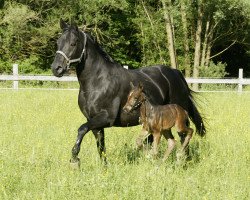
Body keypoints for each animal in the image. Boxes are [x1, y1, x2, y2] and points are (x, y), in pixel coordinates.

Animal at [50, 19, 205, 166]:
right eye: (58, 42)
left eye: (73, 43)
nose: (56, 68)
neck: (97, 82)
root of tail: (177, 74)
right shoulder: (94, 122)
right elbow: (101, 147)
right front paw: (104, 168)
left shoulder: (106, 118)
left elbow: (81, 129)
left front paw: (74, 158)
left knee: (184, 137)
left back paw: (181, 160)